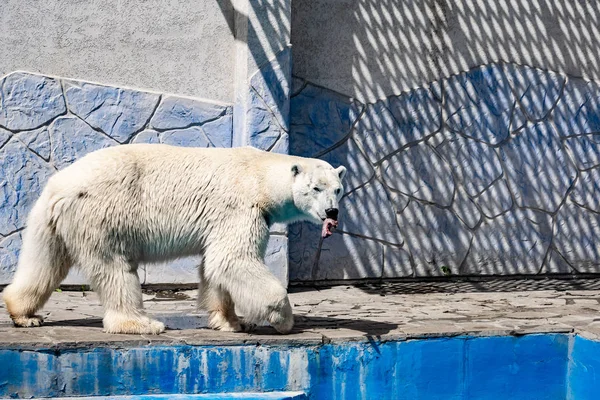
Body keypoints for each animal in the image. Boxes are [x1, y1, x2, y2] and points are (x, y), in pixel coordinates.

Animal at [2, 144, 346, 334]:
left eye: (338, 188)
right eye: (316, 187)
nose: (332, 211)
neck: (260, 177)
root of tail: (58, 187)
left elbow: (216, 267)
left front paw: (230, 321)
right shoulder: (241, 207)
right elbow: (233, 259)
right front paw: (281, 319)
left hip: (52, 220)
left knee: (44, 260)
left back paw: (24, 313)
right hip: (102, 212)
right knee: (115, 268)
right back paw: (141, 324)